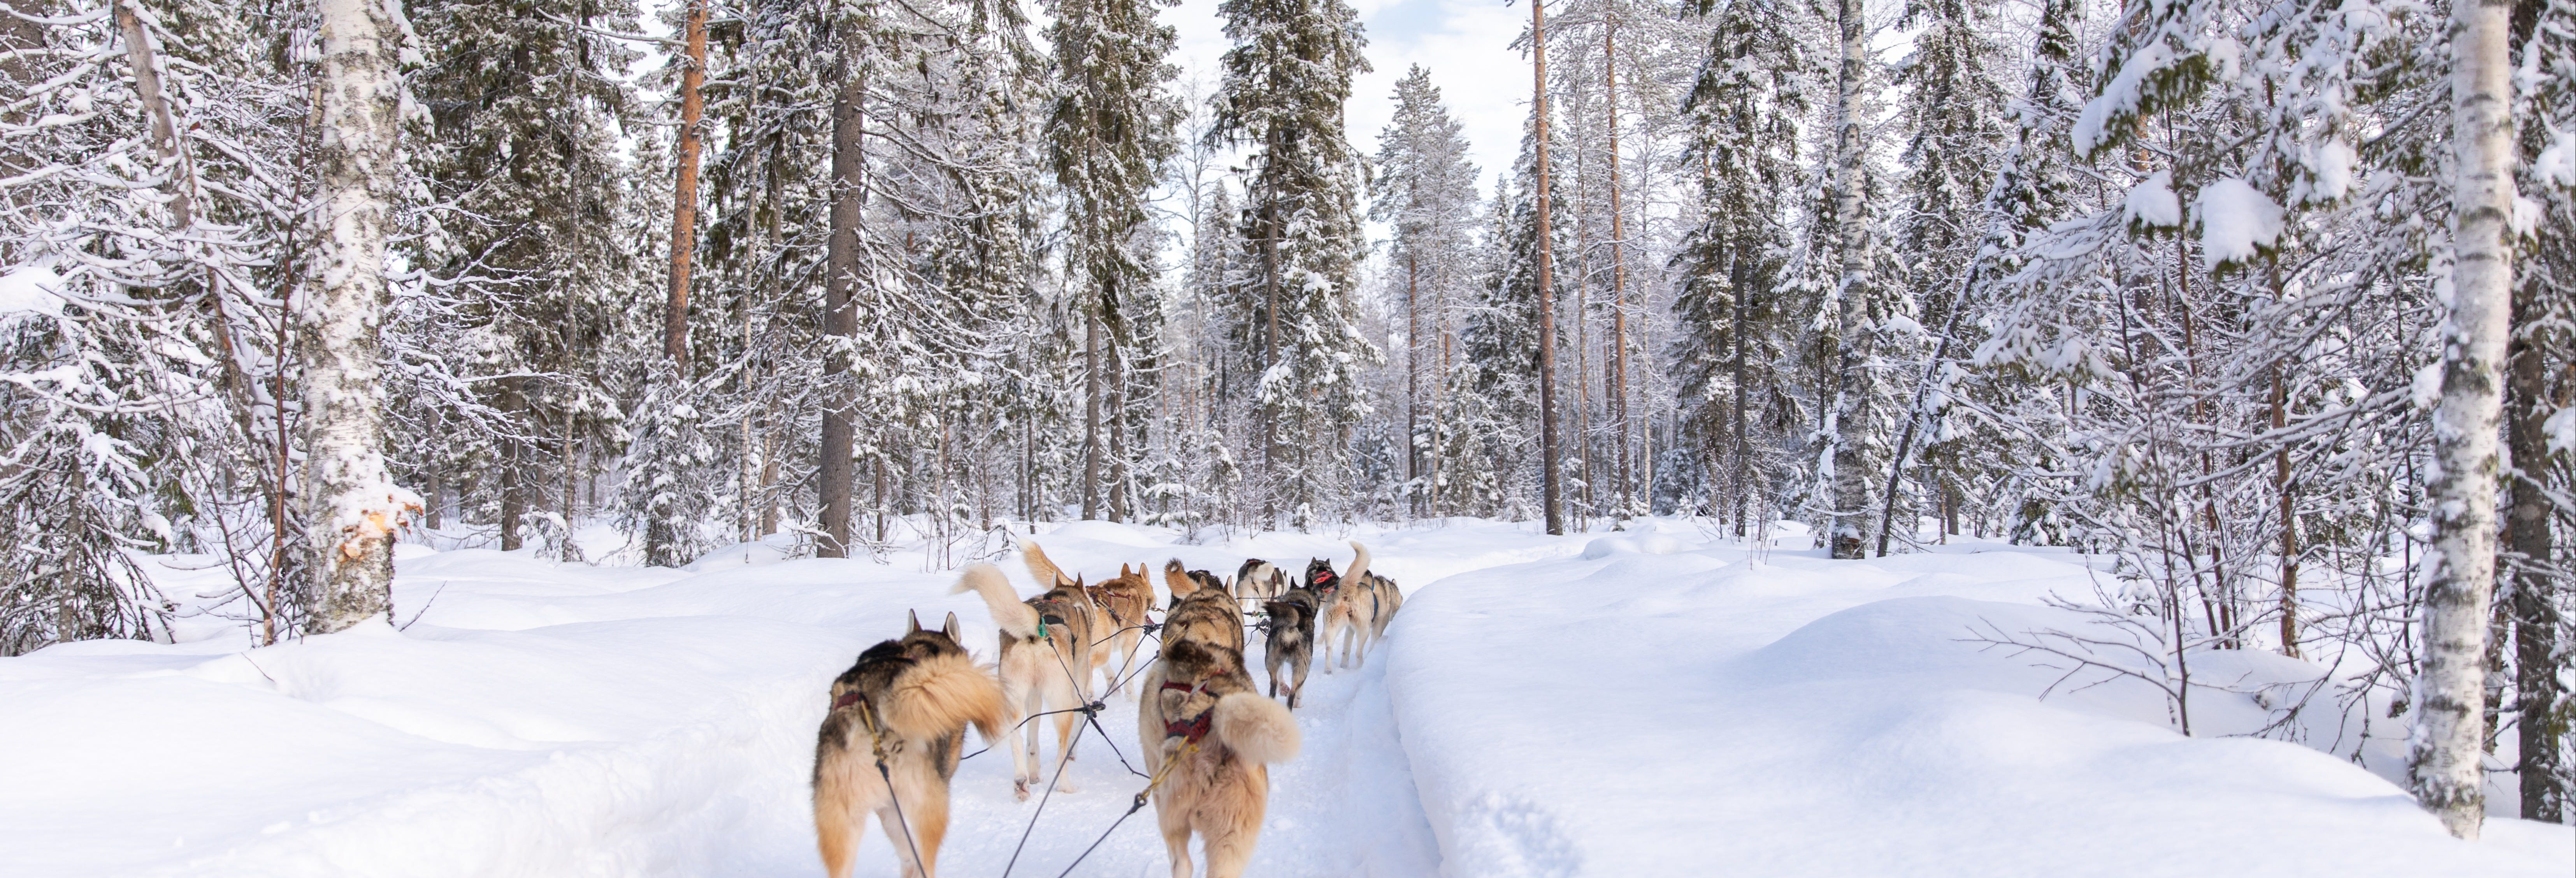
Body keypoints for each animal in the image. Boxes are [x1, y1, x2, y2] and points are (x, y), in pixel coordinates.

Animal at [809, 605, 1010, 875]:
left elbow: (906, 853)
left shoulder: (887, 808)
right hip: (929, 807)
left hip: (843, 820)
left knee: (903, 857)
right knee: (924, 860)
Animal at [958, 556, 1097, 798]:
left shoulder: (1034, 697)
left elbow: (1033, 744)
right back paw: (1066, 787)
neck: (1065, 599)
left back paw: (1023, 782)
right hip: (1061, 703)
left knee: (1018, 740)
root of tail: (1035, 630)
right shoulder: (1078, 688)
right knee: (1060, 754)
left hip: (1015, 701)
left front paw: (1034, 775)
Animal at [1257, 584, 1319, 705]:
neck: (1298, 602)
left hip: (1272, 659)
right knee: (1293, 692)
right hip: (1302, 668)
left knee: (1274, 684)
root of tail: (1292, 626)